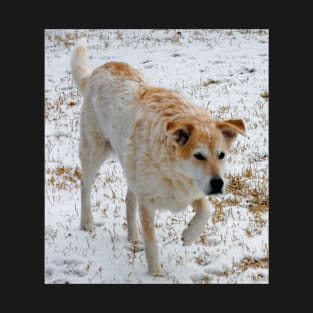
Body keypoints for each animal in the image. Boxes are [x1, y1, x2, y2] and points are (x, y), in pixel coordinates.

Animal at [69, 37, 245, 274]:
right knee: (84, 186)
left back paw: (133, 237)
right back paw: (87, 222)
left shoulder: (189, 191)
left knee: (128, 198)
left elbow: (206, 209)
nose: (218, 184)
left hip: (129, 167)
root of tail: (100, 69)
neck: (173, 168)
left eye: (222, 155)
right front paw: (156, 274)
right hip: (94, 150)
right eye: (198, 155)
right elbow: (152, 243)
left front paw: (189, 236)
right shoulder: (148, 202)